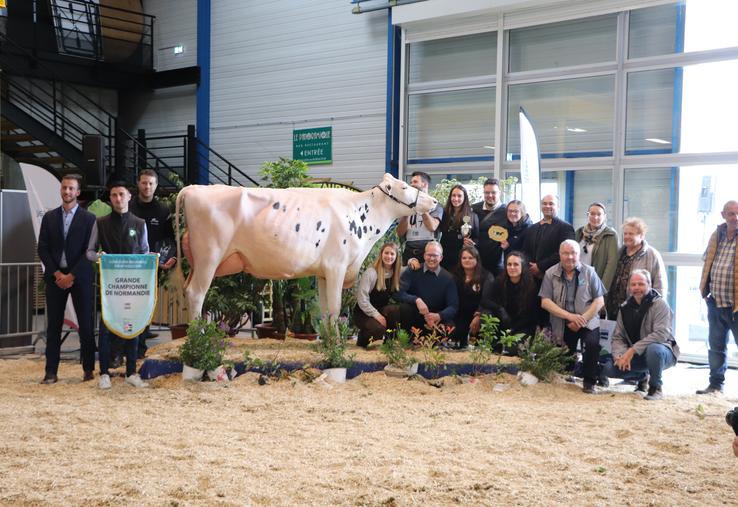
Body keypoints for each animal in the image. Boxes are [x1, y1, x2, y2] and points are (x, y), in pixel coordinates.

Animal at [175, 173, 434, 320]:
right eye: (404, 187)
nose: (433, 200)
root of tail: (193, 188)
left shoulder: (323, 272)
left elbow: (325, 310)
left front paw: (328, 343)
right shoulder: (336, 266)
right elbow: (335, 308)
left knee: (189, 291)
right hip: (209, 256)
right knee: (196, 294)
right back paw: (199, 340)